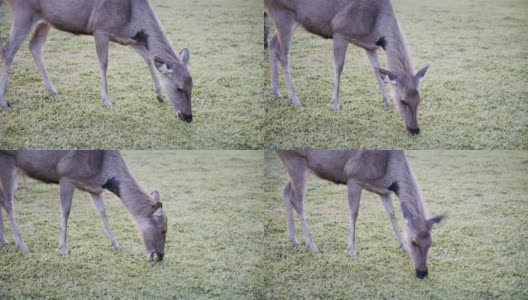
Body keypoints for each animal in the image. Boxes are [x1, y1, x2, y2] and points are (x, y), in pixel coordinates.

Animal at [0, 0, 194, 122]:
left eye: (192, 87)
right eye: (179, 88)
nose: (188, 117)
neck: (130, 18)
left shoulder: (128, 40)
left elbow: (148, 59)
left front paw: (159, 95)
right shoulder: (100, 29)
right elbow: (104, 64)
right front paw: (107, 101)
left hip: (45, 20)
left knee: (35, 46)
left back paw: (52, 89)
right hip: (24, 13)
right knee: (7, 49)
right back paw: (4, 102)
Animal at [0, 150, 167, 260]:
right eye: (163, 230)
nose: (160, 256)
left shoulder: (94, 190)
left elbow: (103, 213)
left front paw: (116, 244)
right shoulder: (66, 176)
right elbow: (65, 211)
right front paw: (63, 249)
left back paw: (4, 240)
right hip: (7, 162)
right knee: (7, 202)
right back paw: (22, 245)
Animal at [266, 0, 432, 134]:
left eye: (419, 99)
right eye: (403, 100)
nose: (415, 130)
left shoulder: (369, 46)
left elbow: (376, 70)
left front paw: (387, 101)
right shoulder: (339, 32)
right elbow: (339, 67)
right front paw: (335, 104)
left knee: (272, 45)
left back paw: (276, 92)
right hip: (283, 15)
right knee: (283, 54)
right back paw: (295, 99)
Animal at [278, 150, 444, 278]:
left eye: (431, 243)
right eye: (414, 242)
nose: (422, 273)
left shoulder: (383, 192)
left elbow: (391, 215)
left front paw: (402, 246)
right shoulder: (353, 177)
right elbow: (354, 212)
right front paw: (351, 250)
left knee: (286, 192)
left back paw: (293, 238)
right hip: (296, 162)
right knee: (297, 201)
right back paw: (312, 246)